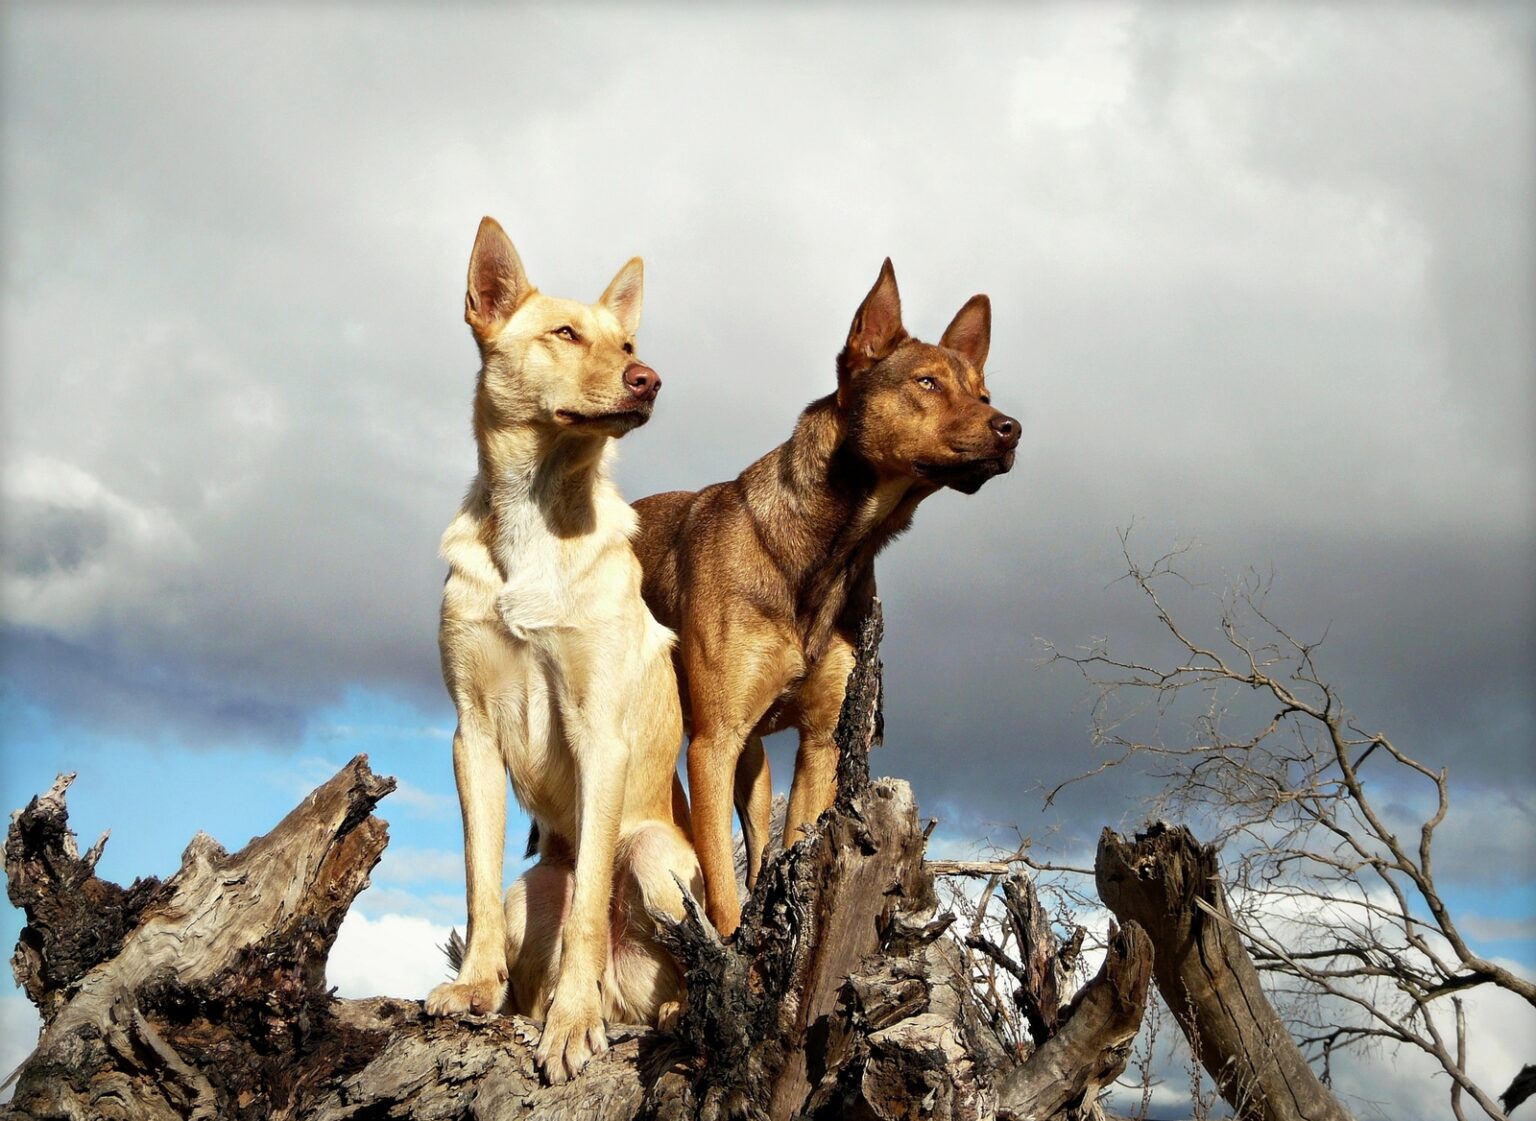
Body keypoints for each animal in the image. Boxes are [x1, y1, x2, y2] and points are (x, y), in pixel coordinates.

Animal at [629, 257, 1013, 927]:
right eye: (928, 383)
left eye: (984, 396)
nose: (1011, 429)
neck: (828, 554)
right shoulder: (711, 744)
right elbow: (720, 894)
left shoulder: (818, 743)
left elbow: (792, 851)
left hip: (754, 765)